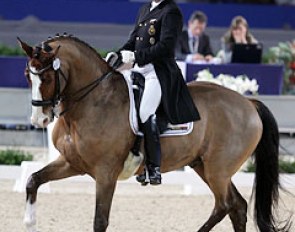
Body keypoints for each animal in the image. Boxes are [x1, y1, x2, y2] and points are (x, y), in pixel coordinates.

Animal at [17, 35, 292, 232]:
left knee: (225, 205)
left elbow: (100, 221)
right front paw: (29, 223)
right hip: (205, 167)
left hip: (218, 170)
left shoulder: (105, 174)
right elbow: (32, 180)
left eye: (48, 76)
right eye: (28, 76)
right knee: (237, 207)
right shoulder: (72, 163)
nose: (39, 119)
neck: (93, 101)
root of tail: (249, 104)